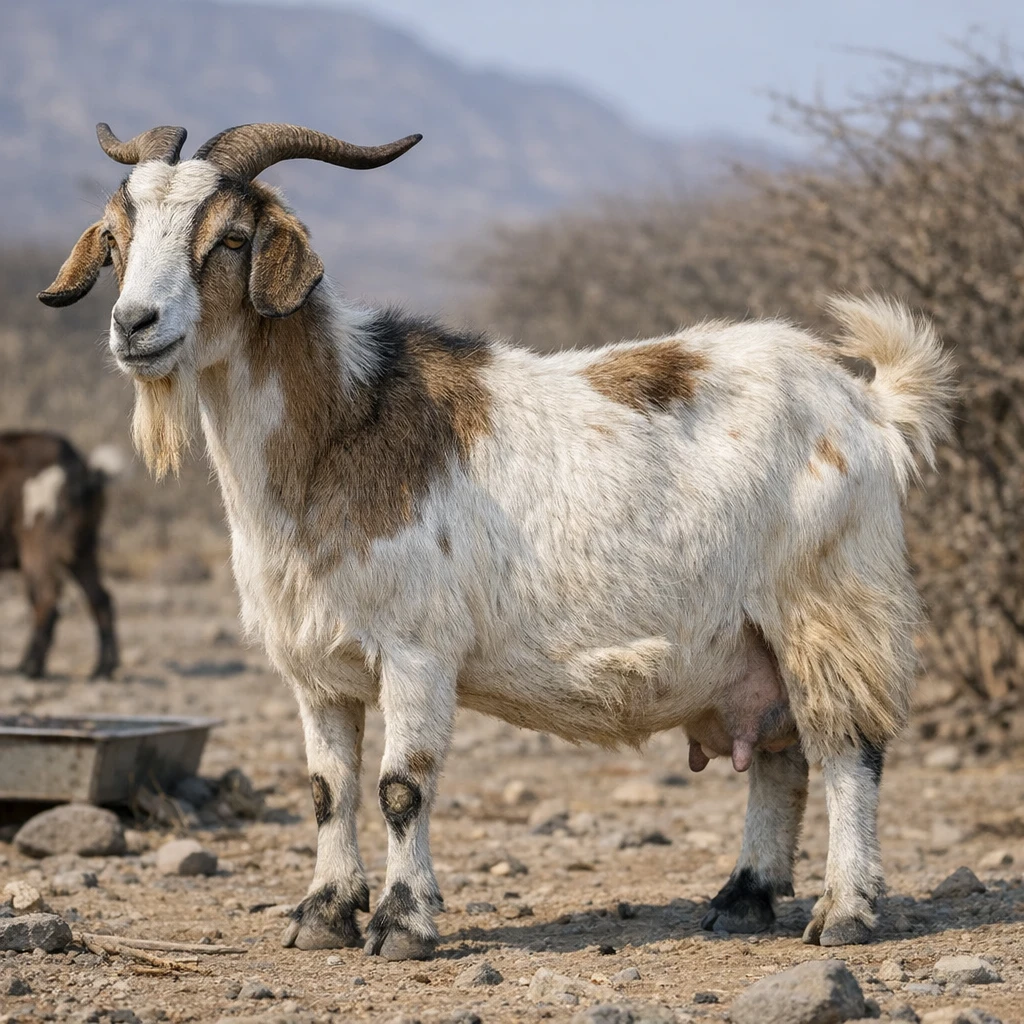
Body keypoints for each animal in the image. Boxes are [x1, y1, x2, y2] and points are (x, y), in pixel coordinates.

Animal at [0, 431, 120, 678]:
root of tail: (82, 471)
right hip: (83, 549)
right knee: (100, 598)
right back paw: (103, 668)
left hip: (38, 545)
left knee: (46, 598)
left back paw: (31, 667)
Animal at [40, 122, 955, 959]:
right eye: (115, 241)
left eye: (230, 237)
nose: (136, 325)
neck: (341, 427)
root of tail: (868, 404)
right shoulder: (314, 667)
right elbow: (327, 789)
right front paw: (321, 917)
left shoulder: (417, 649)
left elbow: (400, 787)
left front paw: (402, 925)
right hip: (758, 642)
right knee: (780, 755)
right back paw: (742, 898)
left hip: (827, 606)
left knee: (849, 751)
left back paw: (844, 913)